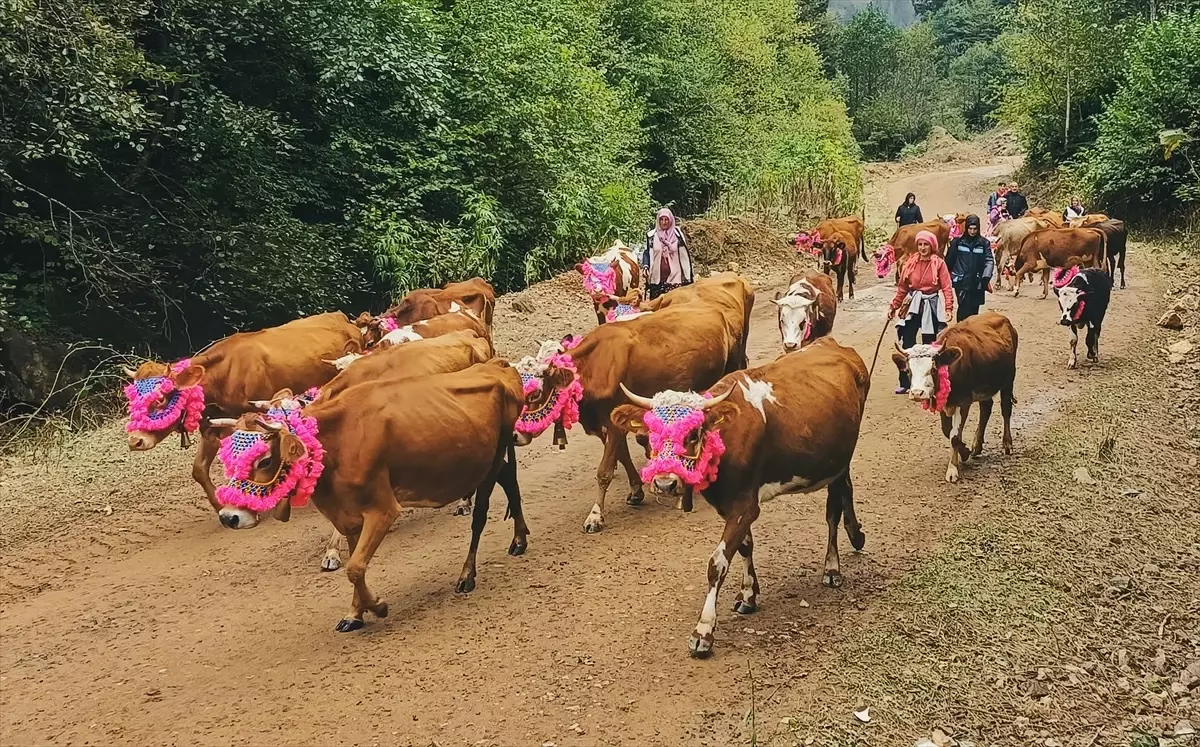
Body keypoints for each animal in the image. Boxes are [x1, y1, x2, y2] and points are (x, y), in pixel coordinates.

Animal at [125, 309, 364, 521]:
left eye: (161, 398)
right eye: (133, 398)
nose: (135, 441)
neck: (224, 374)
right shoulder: (212, 427)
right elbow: (199, 469)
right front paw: (219, 504)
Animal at [212, 362, 530, 634]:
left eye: (264, 460)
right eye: (229, 459)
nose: (229, 517)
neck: (337, 440)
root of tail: (498, 367)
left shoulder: (383, 510)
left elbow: (354, 568)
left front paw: (377, 606)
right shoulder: (349, 516)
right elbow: (356, 566)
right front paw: (355, 613)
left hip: (491, 459)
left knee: (480, 516)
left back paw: (467, 574)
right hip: (487, 460)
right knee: (509, 479)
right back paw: (519, 537)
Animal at [513, 281, 748, 533]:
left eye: (535, 393)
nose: (514, 435)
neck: (594, 364)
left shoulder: (613, 419)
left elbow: (605, 470)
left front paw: (595, 515)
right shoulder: (611, 421)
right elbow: (621, 456)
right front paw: (636, 490)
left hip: (731, 368)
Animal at [614, 338, 868, 662]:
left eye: (693, 434)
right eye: (650, 434)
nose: (665, 483)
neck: (725, 437)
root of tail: (832, 344)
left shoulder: (745, 506)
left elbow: (718, 564)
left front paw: (703, 632)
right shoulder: (732, 505)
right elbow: (746, 546)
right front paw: (748, 594)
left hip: (836, 463)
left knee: (833, 510)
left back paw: (833, 567)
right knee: (845, 493)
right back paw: (855, 534)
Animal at [897, 312, 1017, 482]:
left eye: (933, 369)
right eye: (908, 370)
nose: (917, 393)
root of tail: (1001, 316)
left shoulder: (964, 401)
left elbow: (954, 436)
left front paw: (953, 469)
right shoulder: (944, 401)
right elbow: (947, 431)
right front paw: (965, 452)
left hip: (1008, 378)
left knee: (1005, 408)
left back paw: (1007, 443)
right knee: (986, 408)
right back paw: (976, 446)